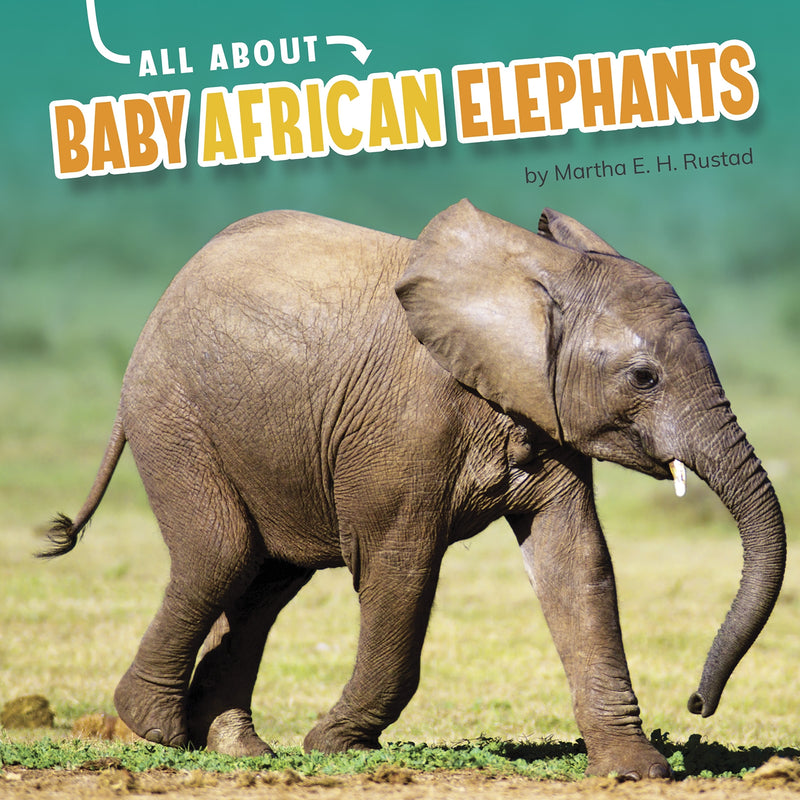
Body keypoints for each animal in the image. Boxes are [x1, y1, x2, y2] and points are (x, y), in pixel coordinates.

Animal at [42, 200, 785, 779]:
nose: (697, 705)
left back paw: (240, 752)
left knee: (264, 581)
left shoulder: (539, 410)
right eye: (643, 377)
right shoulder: (405, 428)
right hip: (174, 414)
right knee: (221, 555)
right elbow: (399, 566)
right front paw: (334, 745)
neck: (533, 276)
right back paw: (157, 728)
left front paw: (633, 771)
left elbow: (576, 561)